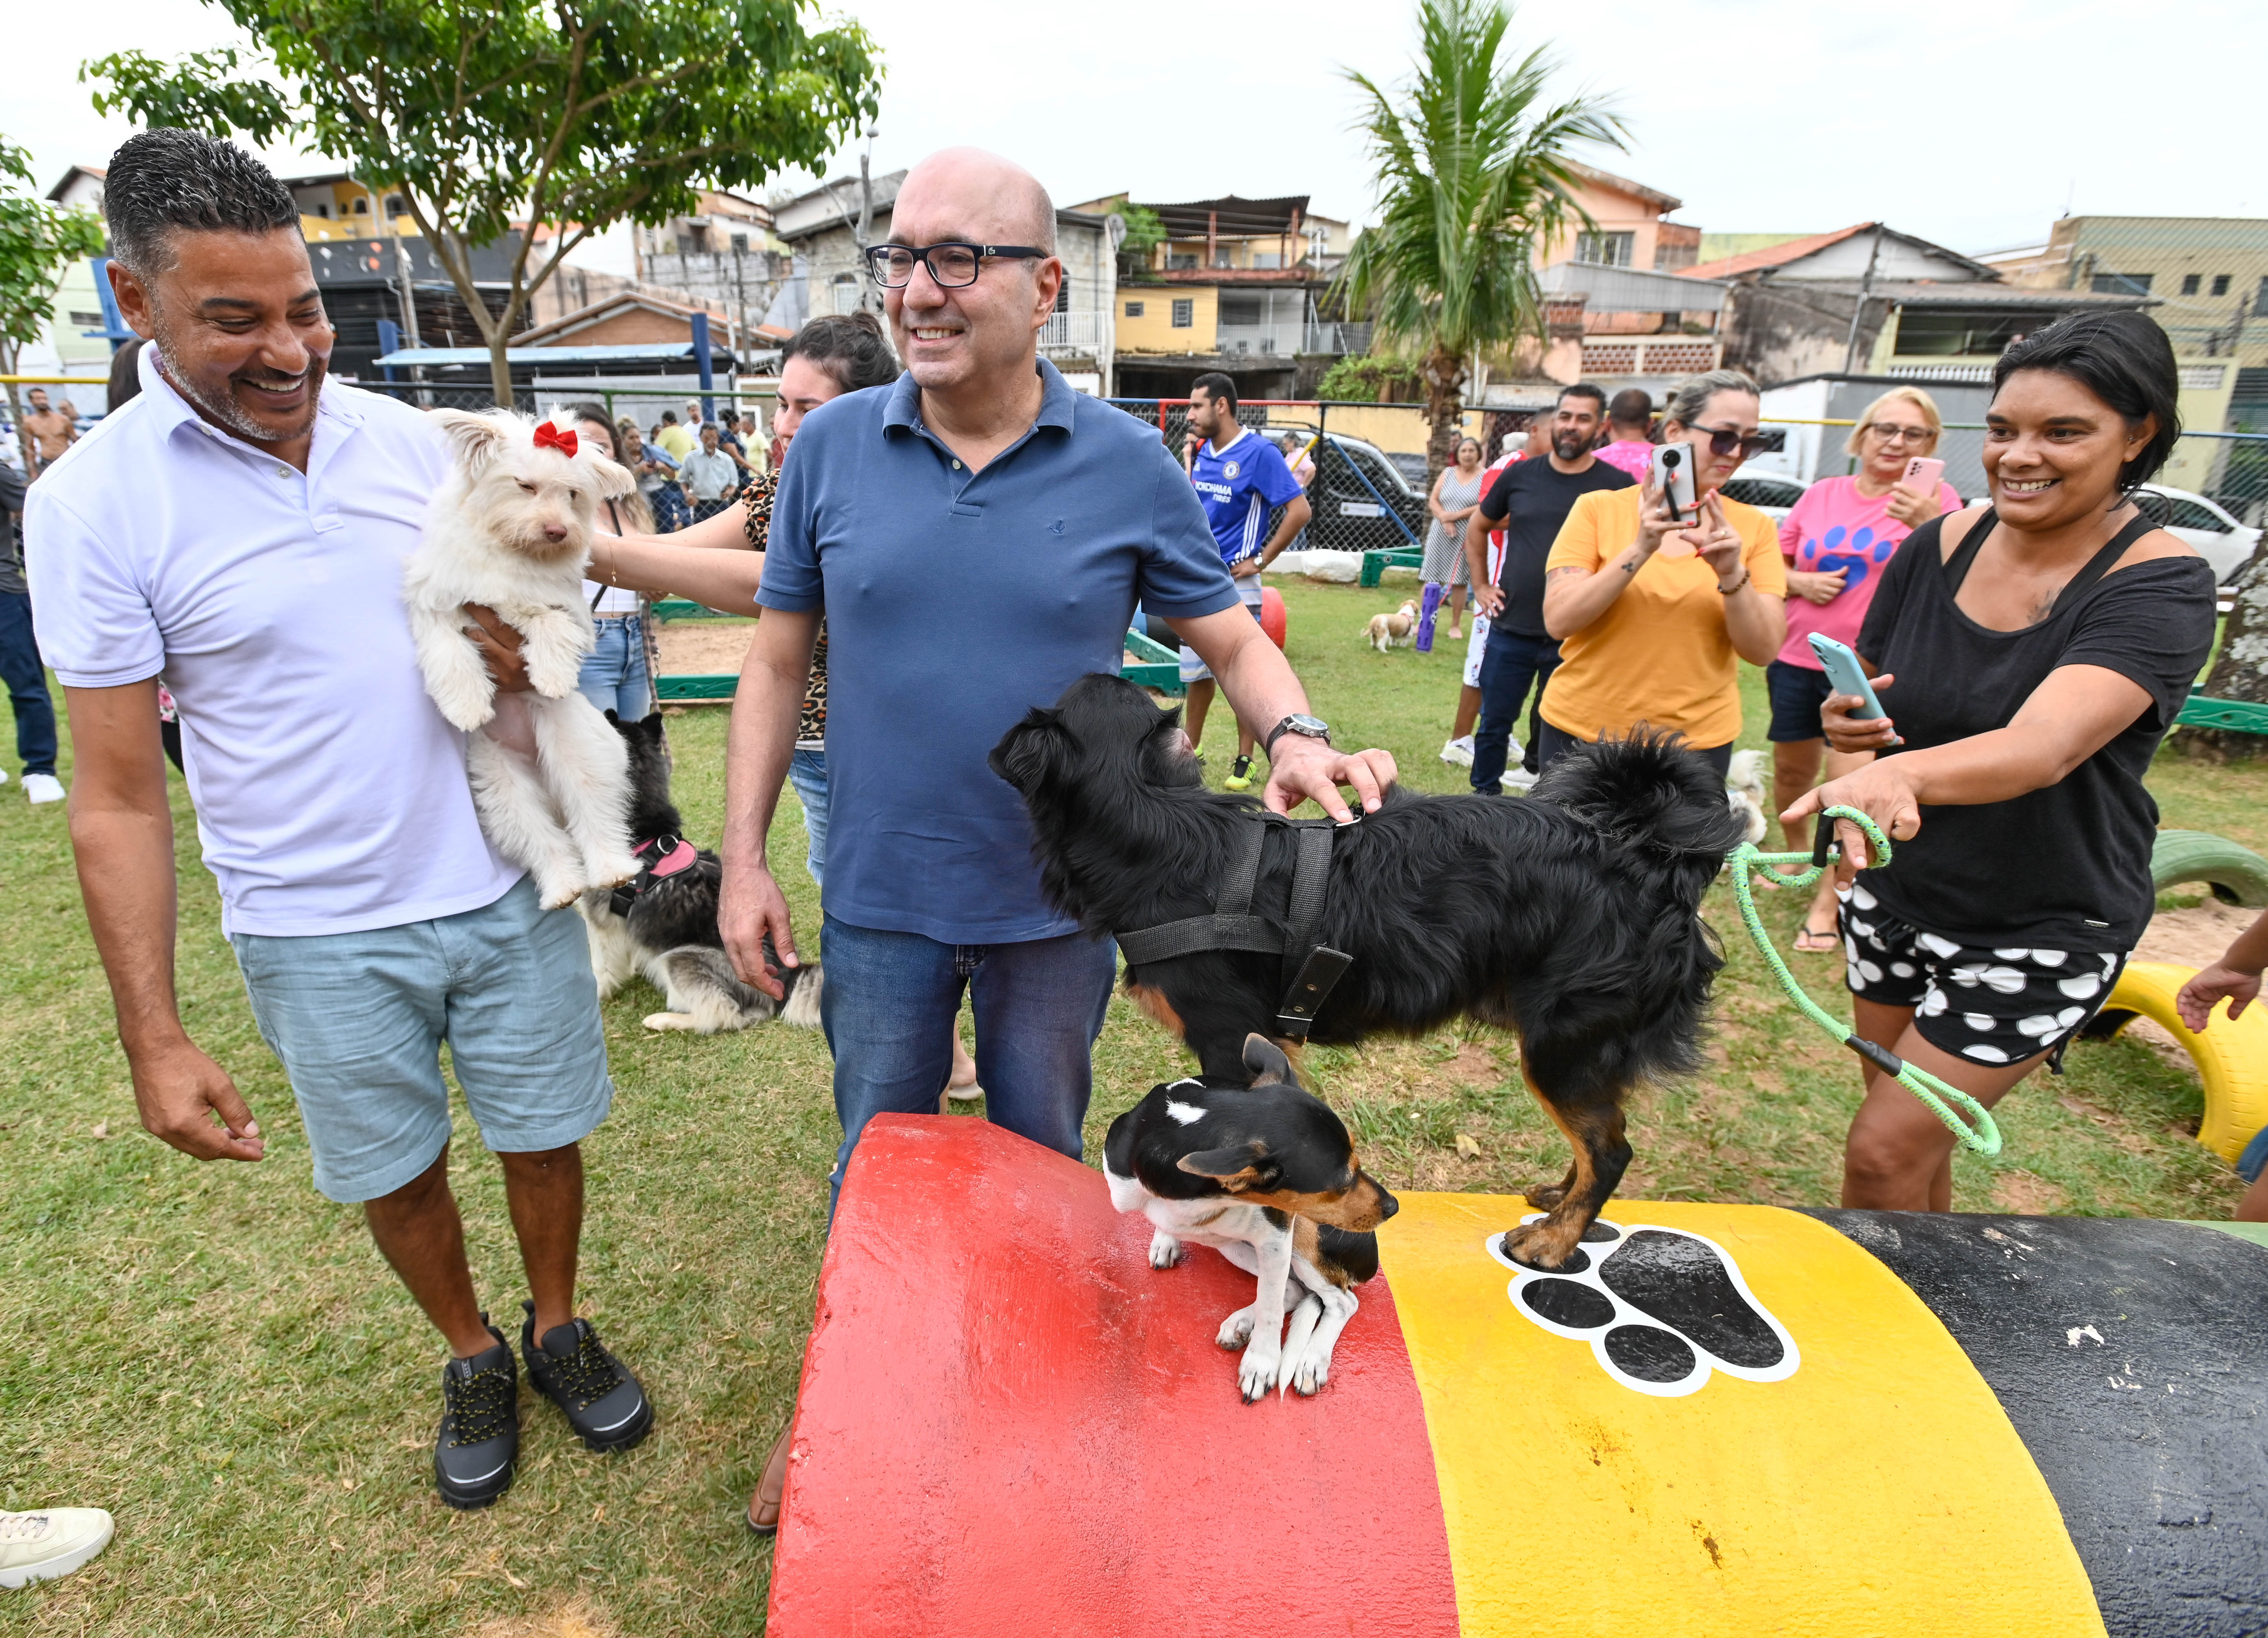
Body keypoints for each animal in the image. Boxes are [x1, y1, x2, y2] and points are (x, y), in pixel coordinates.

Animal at [401, 408, 640, 907]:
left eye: (572, 494)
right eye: (525, 486)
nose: (558, 531)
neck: (514, 555)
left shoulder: (567, 611)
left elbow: (549, 624)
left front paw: (550, 679)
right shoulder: (437, 604)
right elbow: (449, 654)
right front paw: (467, 708)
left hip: (580, 757)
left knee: (596, 816)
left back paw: (612, 870)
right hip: (502, 790)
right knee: (544, 840)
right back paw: (564, 887)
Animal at [576, 703, 825, 1034]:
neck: (644, 831)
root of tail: (785, 978)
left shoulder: (600, 924)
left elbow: (600, 967)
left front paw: (595, 996)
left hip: (681, 957)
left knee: (725, 1014)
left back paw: (666, 1019)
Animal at [984, 671, 1742, 1270]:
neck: (1154, 824)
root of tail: (1646, 856)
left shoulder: (1227, 1040)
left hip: (1562, 1046)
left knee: (1610, 1149)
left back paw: (1555, 1241)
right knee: (1598, 1140)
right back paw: (1560, 1201)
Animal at [1102, 1039, 1397, 1397]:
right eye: (1341, 1185)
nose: (1394, 1207)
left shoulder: (1277, 1235)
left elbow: (1270, 1306)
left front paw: (1261, 1364)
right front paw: (1165, 1239)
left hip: (1302, 1237)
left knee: (1341, 1301)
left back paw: (1311, 1359)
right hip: (1233, 1246)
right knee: (1295, 1290)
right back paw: (1242, 1324)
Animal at [1360, 599, 1415, 649]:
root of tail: (1375, 621)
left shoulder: (1394, 634)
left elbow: (1393, 640)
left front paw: (1394, 645)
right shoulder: (1409, 636)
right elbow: (1404, 643)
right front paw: (1402, 647)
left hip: (1373, 634)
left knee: (1374, 643)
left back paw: (1375, 647)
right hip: (1385, 634)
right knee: (1380, 644)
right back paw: (1385, 652)